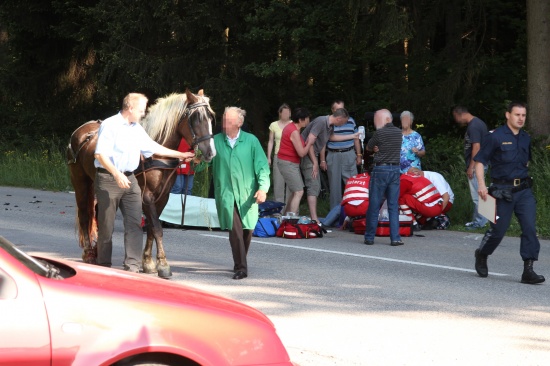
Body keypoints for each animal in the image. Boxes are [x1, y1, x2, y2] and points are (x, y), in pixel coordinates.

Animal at [66, 89, 216, 278]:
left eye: (210, 117)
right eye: (195, 118)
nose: (210, 152)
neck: (157, 154)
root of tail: (82, 130)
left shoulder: (163, 197)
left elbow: (152, 228)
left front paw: (148, 262)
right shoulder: (146, 196)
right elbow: (157, 228)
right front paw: (163, 264)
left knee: (100, 216)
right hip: (80, 181)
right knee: (85, 215)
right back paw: (89, 253)